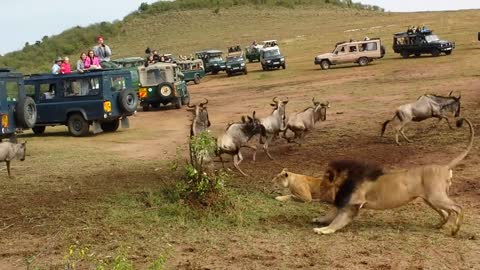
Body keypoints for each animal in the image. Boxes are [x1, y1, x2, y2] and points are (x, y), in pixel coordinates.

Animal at [314, 118, 474, 236]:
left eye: (323, 185)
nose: (319, 195)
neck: (346, 179)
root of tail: (445, 167)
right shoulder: (344, 202)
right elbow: (330, 214)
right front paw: (318, 219)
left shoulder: (353, 204)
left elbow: (336, 221)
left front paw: (323, 230)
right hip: (429, 199)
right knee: (446, 212)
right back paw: (438, 225)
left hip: (436, 197)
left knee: (458, 208)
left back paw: (455, 230)